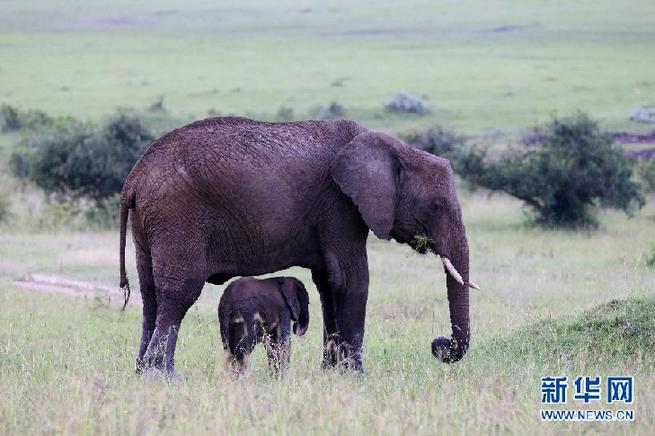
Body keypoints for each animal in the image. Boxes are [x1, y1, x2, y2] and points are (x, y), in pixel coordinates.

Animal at [119, 116, 476, 374]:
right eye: (437, 206)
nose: (439, 345)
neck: (395, 148)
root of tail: (134, 177)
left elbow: (329, 283)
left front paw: (331, 374)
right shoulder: (340, 206)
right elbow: (352, 280)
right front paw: (357, 377)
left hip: (150, 224)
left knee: (150, 295)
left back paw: (142, 373)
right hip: (176, 215)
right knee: (177, 295)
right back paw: (163, 376)